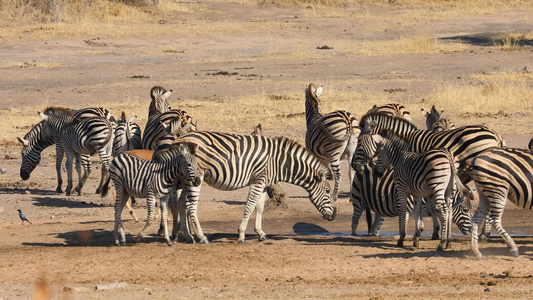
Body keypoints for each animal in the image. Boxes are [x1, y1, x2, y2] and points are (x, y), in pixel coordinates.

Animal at [170, 131, 336, 244]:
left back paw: (188, 236)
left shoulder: (264, 184)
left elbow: (260, 207)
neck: (278, 162)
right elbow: (249, 206)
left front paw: (261, 233)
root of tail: (178, 139)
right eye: (328, 191)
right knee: (191, 206)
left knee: (181, 204)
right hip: (196, 177)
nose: (334, 216)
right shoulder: (257, 180)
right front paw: (241, 235)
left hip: (184, 179)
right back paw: (202, 237)